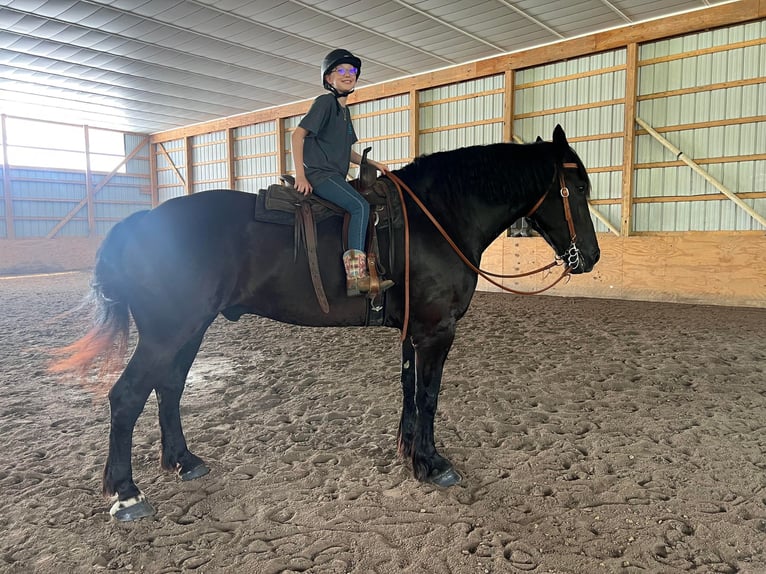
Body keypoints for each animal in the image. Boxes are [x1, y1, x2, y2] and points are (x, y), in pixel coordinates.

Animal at [52, 126, 600, 520]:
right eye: (575, 187)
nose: (591, 257)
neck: (436, 217)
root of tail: (138, 223)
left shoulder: (412, 332)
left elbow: (408, 390)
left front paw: (407, 451)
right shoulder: (436, 331)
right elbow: (428, 396)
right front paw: (432, 463)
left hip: (189, 331)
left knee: (168, 388)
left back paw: (183, 461)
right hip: (169, 333)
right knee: (127, 396)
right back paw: (126, 494)